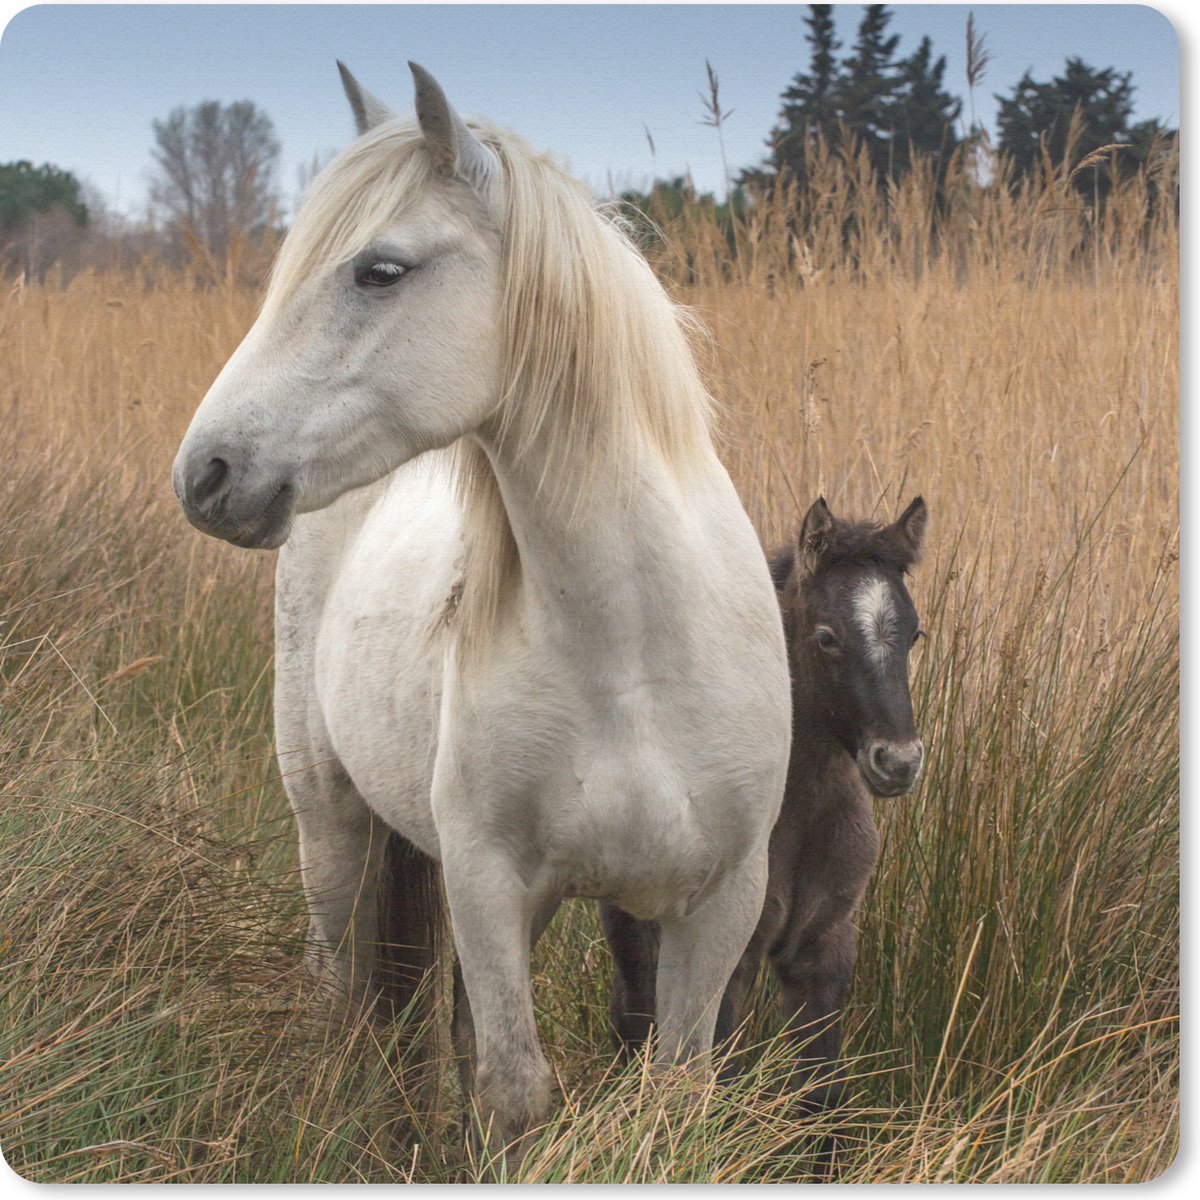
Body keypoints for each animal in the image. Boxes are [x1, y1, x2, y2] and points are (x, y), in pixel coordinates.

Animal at [171, 62, 791, 1150]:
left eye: (380, 271)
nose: (206, 475)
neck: (633, 654)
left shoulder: (718, 903)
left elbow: (673, 1094)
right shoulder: (488, 883)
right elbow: (512, 1091)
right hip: (330, 820)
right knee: (345, 989)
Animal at [602, 495, 927, 1116]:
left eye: (916, 634)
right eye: (826, 637)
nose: (897, 762)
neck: (801, 814)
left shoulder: (823, 952)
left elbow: (822, 1098)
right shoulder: (734, 959)